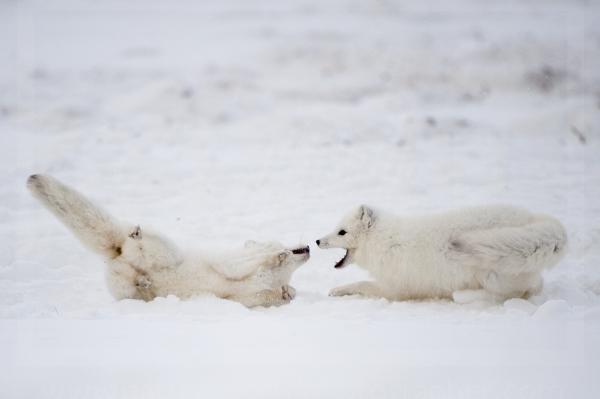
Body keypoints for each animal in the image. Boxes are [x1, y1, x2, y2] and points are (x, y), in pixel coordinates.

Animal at [27, 173, 310, 308]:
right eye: (277, 241)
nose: (307, 247)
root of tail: (116, 252)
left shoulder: (245, 297)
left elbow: (266, 296)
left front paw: (287, 292)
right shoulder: (231, 263)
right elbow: (243, 264)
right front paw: (277, 258)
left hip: (125, 288)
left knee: (130, 282)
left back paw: (142, 281)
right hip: (167, 250)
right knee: (141, 242)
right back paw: (137, 234)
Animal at [318, 206, 568, 304]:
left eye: (342, 232)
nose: (318, 240)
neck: (384, 241)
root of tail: (534, 218)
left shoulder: (395, 290)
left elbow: (361, 284)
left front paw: (337, 290)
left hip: (495, 276)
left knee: (526, 289)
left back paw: (466, 296)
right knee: (536, 284)